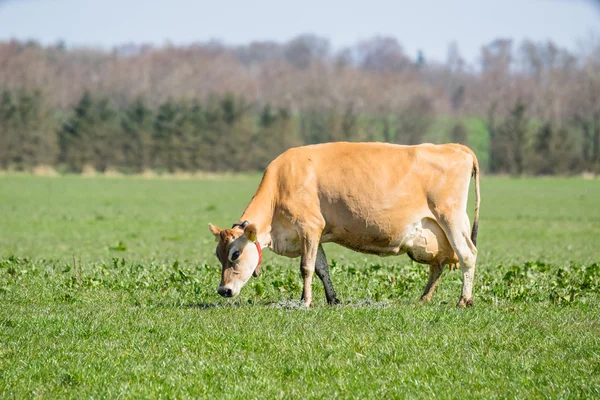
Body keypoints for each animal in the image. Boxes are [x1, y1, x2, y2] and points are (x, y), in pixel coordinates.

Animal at [209, 142, 480, 308]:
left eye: (235, 254)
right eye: (218, 255)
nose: (223, 290)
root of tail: (455, 147)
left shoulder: (310, 227)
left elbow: (306, 268)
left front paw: (305, 301)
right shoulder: (315, 234)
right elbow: (321, 268)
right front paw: (332, 299)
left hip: (451, 217)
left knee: (467, 254)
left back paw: (464, 300)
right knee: (438, 264)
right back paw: (424, 298)